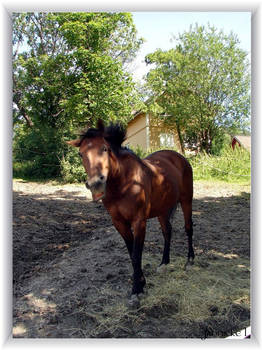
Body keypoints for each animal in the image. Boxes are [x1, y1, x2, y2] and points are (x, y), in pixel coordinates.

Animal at [67, 120, 194, 300]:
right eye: (80, 154)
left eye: (105, 148)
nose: (96, 184)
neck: (124, 183)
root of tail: (179, 157)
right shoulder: (119, 223)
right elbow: (131, 253)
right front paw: (141, 281)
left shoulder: (139, 222)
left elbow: (136, 255)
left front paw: (136, 290)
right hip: (162, 209)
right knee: (167, 232)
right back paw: (164, 263)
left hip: (186, 200)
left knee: (188, 228)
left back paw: (190, 261)